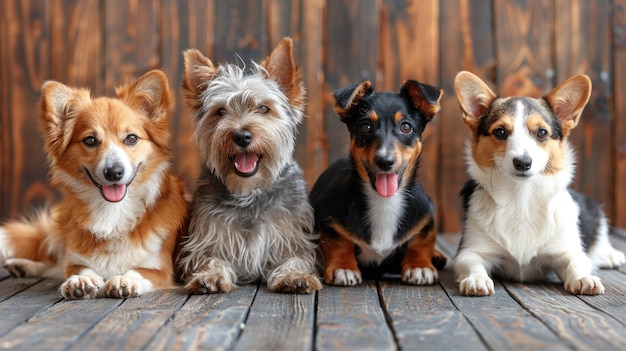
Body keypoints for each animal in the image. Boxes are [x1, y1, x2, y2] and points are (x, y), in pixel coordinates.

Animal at [0, 71, 186, 300]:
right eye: (90, 140)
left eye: (131, 138)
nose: (114, 172)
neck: (113, 211)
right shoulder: (74, 260)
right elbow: (77, 268)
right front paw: (82, 280)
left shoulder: (160, 269)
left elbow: (138, 270)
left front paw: (124, 280)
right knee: (54, 263)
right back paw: (22, 266)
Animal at [308, 79, 444, 286]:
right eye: (366, 127)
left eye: (406, 127)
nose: (385, 161)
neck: (384, 201)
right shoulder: (327, 217)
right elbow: (339, 242)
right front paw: (343, 267)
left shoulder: (425, 216)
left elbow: (421, 241)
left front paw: (419, 266)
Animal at [450, 71, 620, 296]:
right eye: (500, 132)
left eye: (542, 133)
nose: (523, 162)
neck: (521, 197)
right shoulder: (470, 251)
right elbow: (473, 264)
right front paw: (477, 280)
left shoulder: (568, 251)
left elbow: (577, 263)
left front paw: (584, 279)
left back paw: (611, 255)